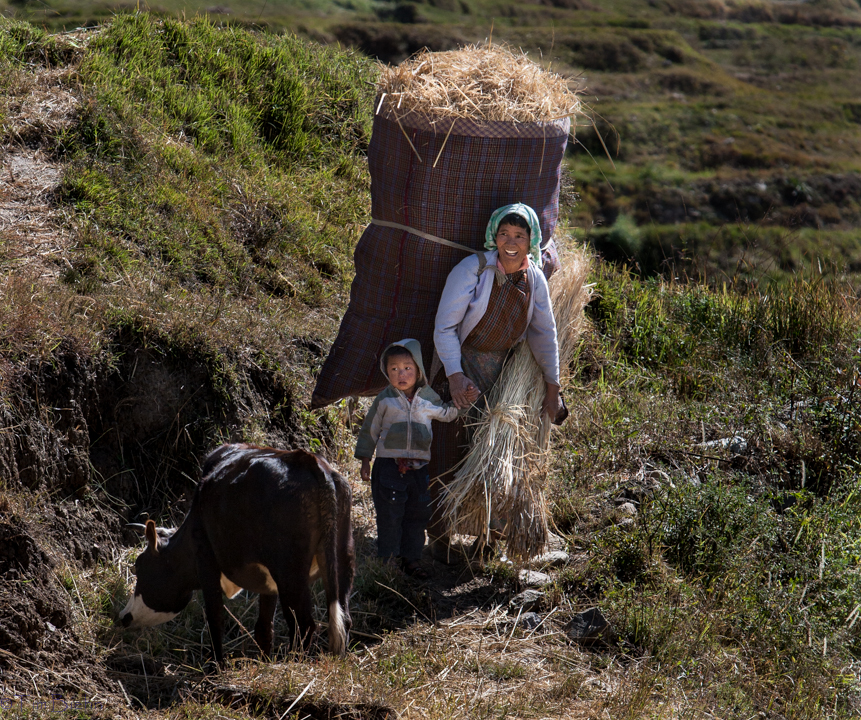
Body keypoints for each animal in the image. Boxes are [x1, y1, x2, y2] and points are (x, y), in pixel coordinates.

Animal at [117, 442, 352, 668]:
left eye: (138, 566)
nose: (124, 617)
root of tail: (310, 461)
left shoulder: (206, 561)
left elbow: (215, 618)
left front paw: (216, 667)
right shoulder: (268, 581)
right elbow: (264, 627)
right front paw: (263, 664)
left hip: (289, 573)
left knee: (304, 625)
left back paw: (294, 665)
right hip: (343, 556)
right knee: (343, 618)